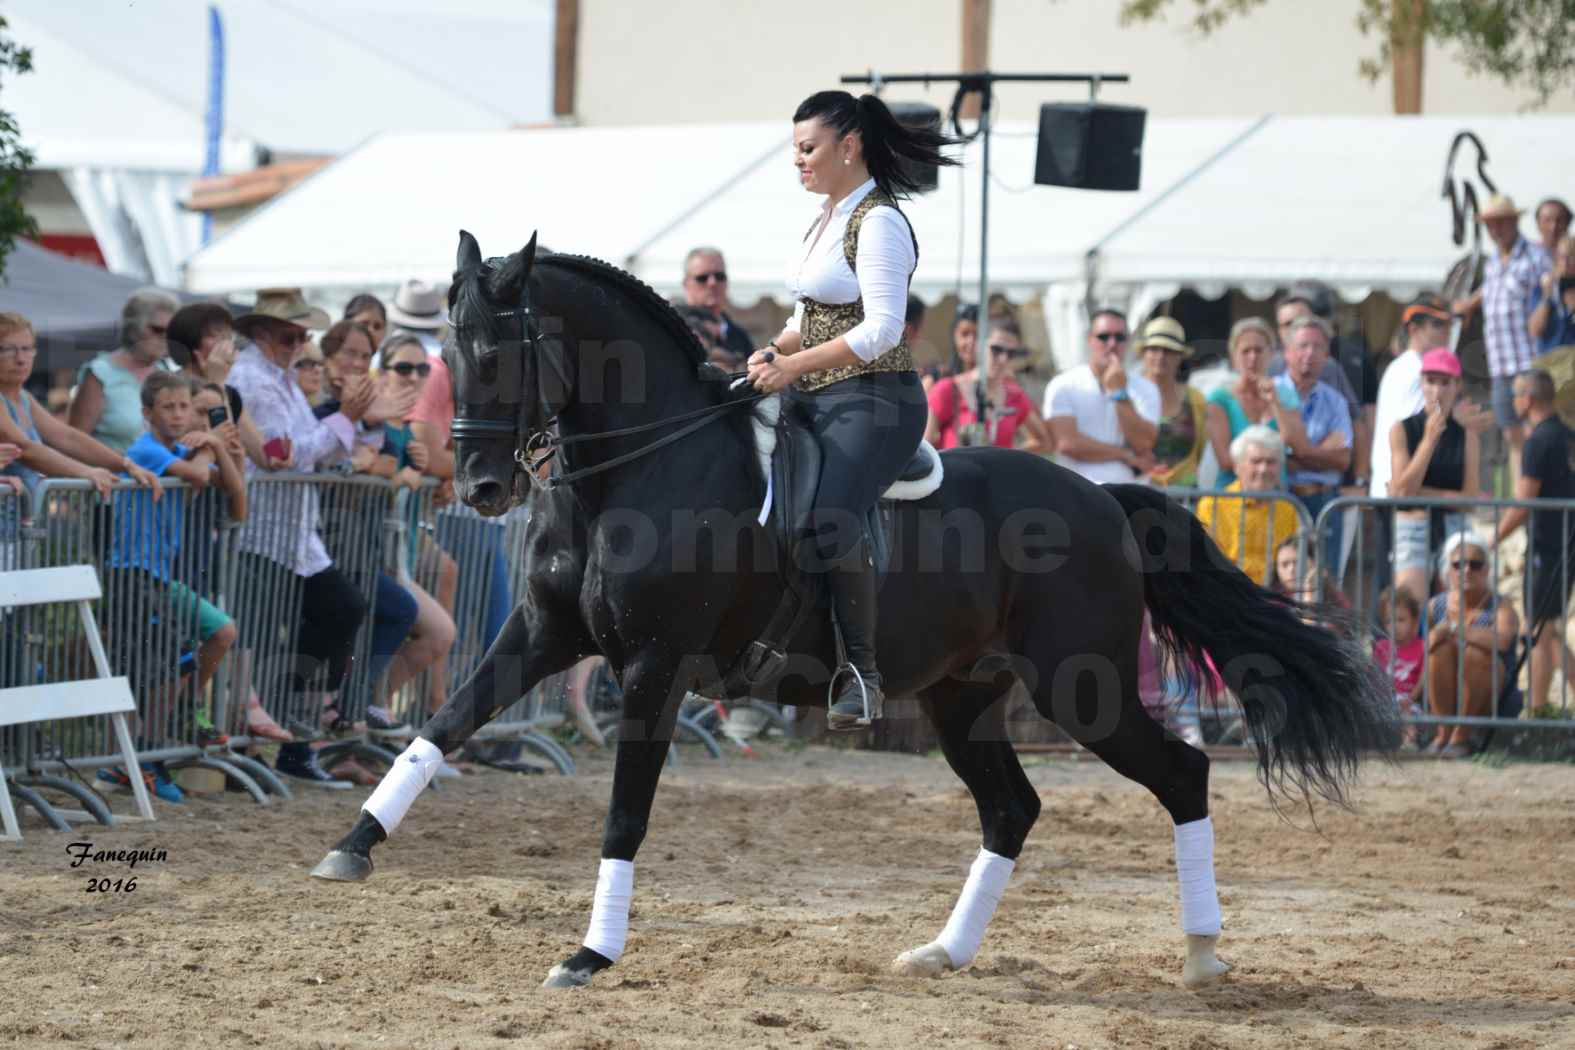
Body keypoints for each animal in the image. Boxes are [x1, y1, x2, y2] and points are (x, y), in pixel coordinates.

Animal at [313, 231, 1398, 994]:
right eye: (450, 352)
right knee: (1013, 808)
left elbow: (623, 812)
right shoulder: (541, 635)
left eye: (509, 348)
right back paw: (943, 954)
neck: (634, 471)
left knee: (1179, 774)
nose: (481, 487)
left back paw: (1204, 955)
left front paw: (591, 954)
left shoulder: (655, 667)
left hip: (1079, 688)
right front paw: (349, 847)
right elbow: (444, 722)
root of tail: (1103, 498)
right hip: (965, 697)